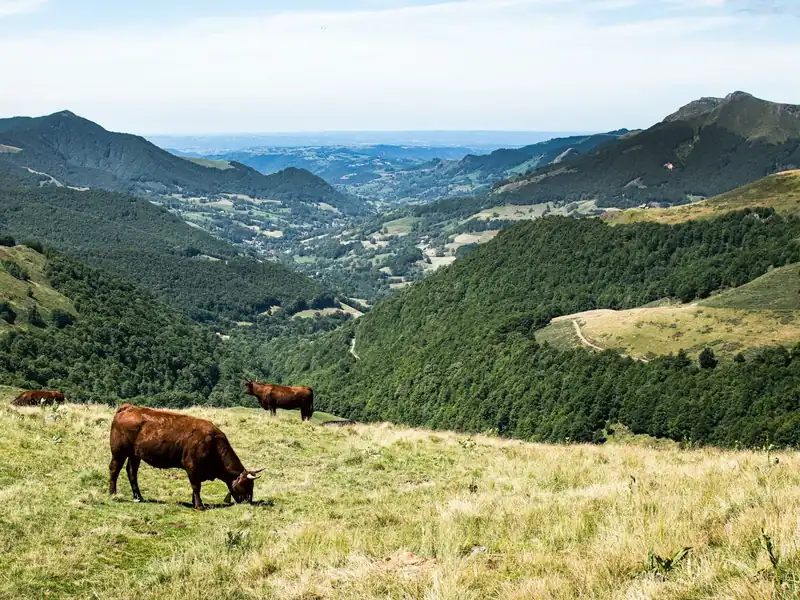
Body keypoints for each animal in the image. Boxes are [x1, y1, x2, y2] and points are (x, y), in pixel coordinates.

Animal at [109, 403, 264, 510]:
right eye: (247, 485)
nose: (248, 502)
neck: (213, 443)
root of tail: (129, 407)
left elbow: (194, 488)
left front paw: (194, 502)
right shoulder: (192, 467)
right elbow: (196, 486)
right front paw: (199, 505)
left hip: (135, 454)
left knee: (131, 472)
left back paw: (138, 497)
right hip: (119, 451)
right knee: (114, 469)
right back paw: (113, 494)